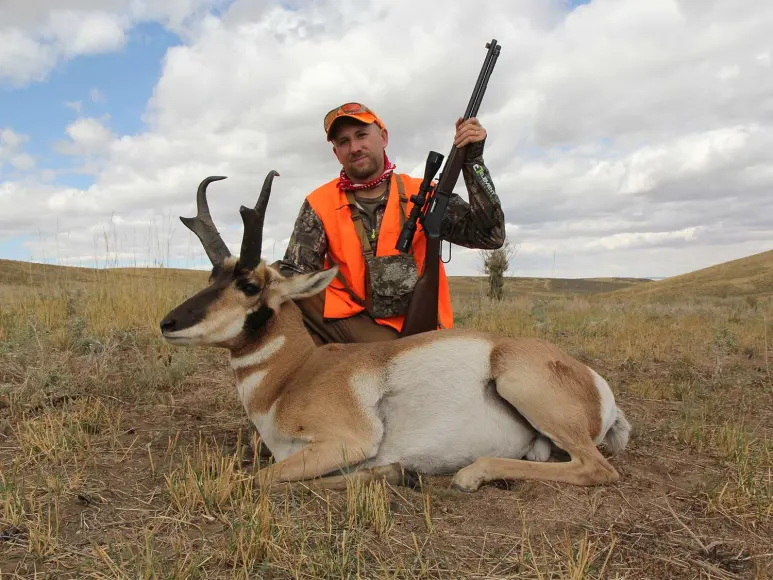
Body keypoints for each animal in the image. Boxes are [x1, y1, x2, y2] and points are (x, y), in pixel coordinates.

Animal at [160, 173, 632, 494]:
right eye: (212, 276)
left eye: (250, 285)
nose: (168, 323)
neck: (292, 376)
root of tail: (594, 383)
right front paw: (395, 473)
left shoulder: (346, 443)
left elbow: (259, 480)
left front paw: (394, 472)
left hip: (516, 382)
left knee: (596, 468)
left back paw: (471, 474)